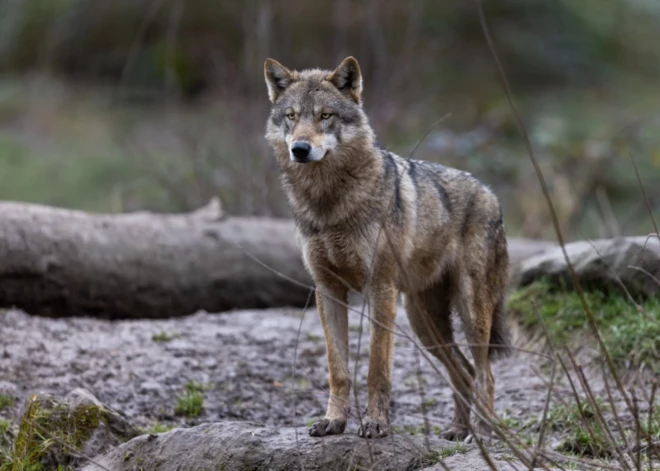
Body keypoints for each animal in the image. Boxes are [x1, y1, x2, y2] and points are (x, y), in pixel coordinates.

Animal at [262, 56, 510, 442]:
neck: (329, 203)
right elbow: (338, 369)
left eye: (325, 115)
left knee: (486, 373)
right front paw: (333, 422)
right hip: (425, 325)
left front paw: (376, 424)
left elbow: (376, 367)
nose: (299, 149)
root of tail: (491, 194)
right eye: (291, 116)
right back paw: (457, 430)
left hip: (470, 314)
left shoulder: (380, 289)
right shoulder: (327, 290)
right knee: (465, 371)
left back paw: (481, 434)